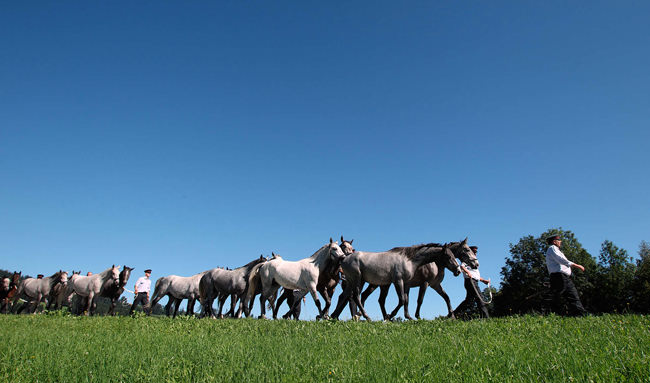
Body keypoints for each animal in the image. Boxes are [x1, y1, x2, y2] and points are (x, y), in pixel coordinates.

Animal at [330, 243, 460, 320]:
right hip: (358, 280)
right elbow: (402, 300)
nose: (458, 271)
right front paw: (391, 315)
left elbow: (406, 300)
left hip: (354, 281)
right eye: (449, 256)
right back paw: (366, 317)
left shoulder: (406, 283)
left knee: (346, 296)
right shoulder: (398, 281)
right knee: (356, 297)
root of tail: (344, 258)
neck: (409, 260)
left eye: (454, 255)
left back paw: (335, 316)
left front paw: (408, 317)